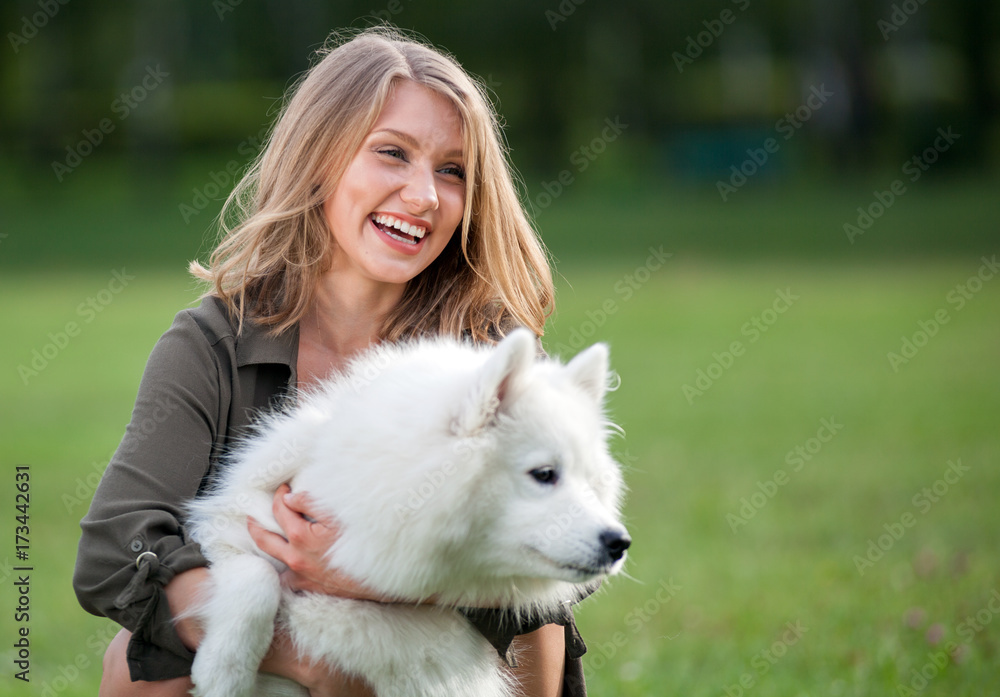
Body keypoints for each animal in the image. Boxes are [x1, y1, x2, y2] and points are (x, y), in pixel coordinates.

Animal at [184, 328, 628, 696]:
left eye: (592, 482)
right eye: (544, 474)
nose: (619, 542)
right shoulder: (235, 524)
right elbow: (254, 577)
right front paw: (224, 671)